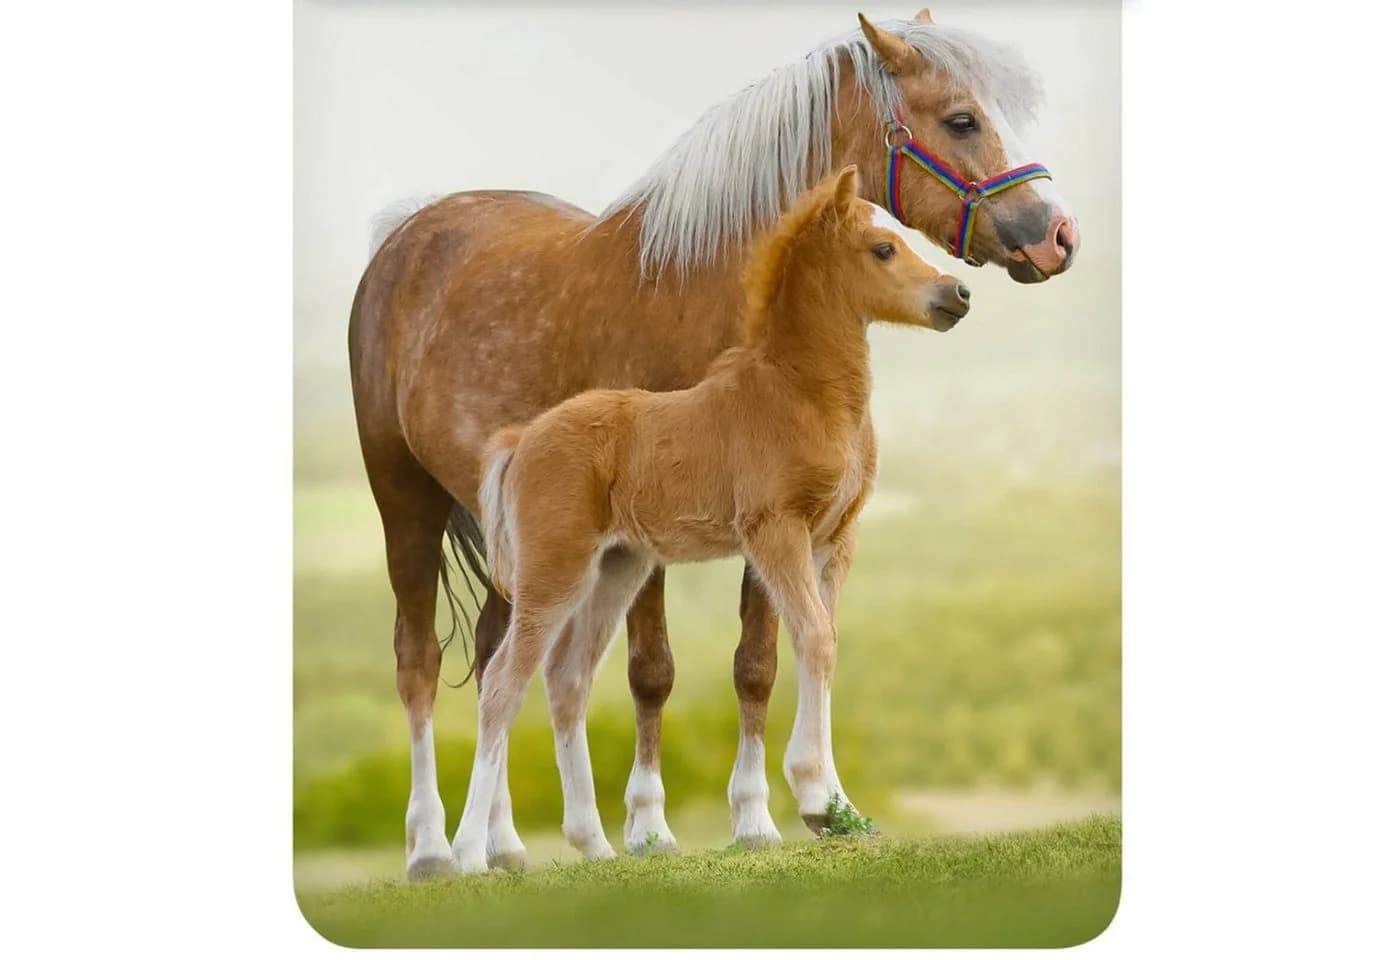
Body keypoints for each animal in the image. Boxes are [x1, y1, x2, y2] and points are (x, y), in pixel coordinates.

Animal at [453, 166, 966, 871]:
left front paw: (839, 809)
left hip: (617, 567)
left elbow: (825, 642)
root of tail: (522, 438)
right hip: (555, 569)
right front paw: (813, 798)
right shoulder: (776, 531)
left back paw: (596, 845)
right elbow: (813, 639)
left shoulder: (835, 540)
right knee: (503, 684)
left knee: (568, 678)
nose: (957, 293)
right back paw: (470, 854)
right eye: (883, 249)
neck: (800, 393)